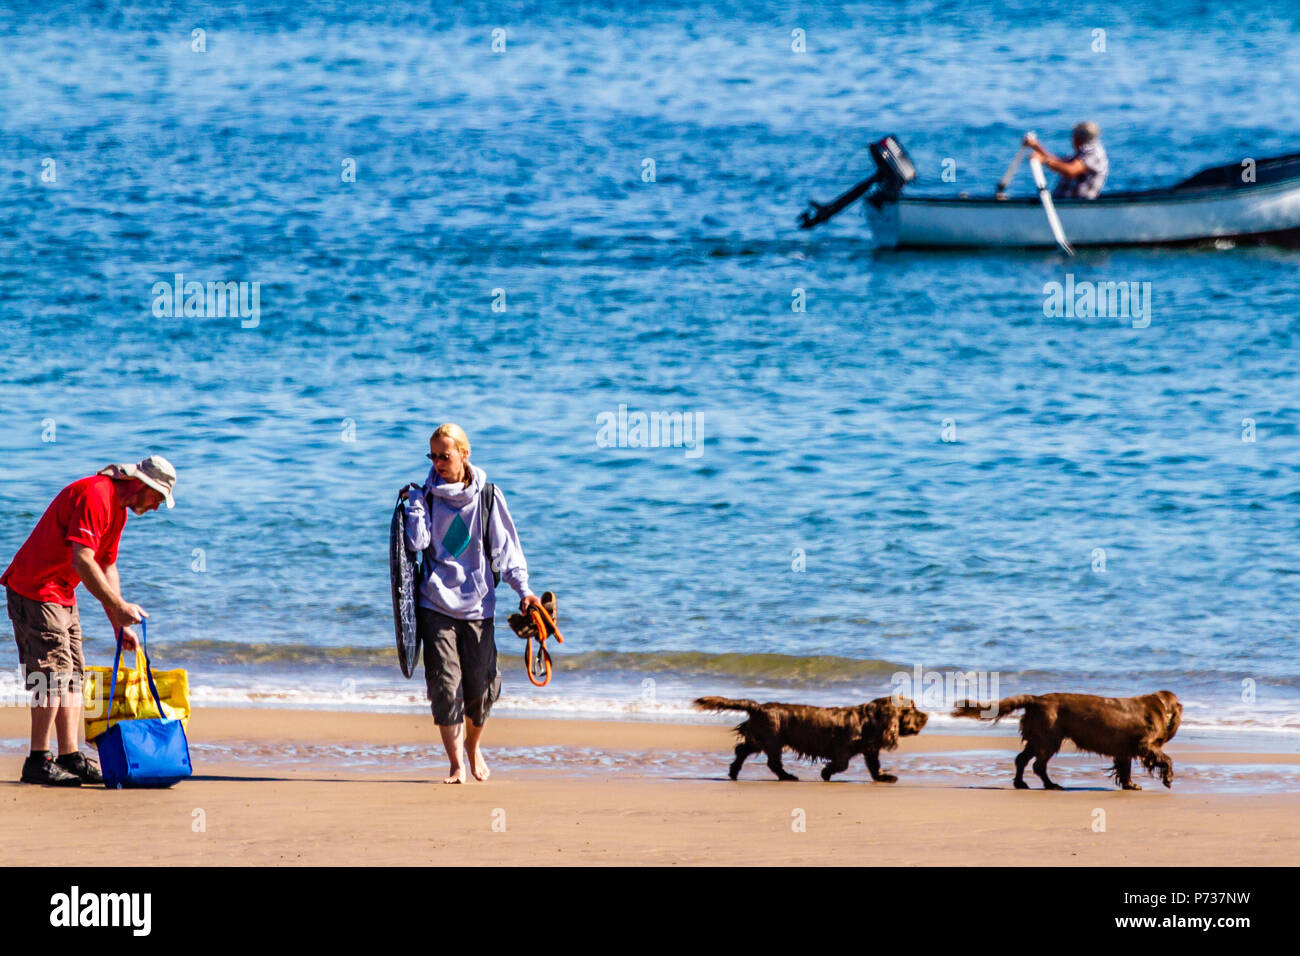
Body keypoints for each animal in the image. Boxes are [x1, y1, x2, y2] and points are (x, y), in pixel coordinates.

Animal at [696, 697, 930, 780]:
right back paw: (787, 776)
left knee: (742, 751)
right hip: (773, 740)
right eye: (911, 708)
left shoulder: (871, 750)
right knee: (773, 763)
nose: (927, 716)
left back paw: (734, 772)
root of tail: (759, 707)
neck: (869, 720)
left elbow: (875, 767)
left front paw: (884, 777)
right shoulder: (842, 749)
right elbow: (841, 764)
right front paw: (826, 773)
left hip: (759, 740)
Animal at [951, 691, 1185, 790]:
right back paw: (1051, 785)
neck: (1159, 704)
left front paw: (1130, 785)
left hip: (1038, 738)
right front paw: (1168, 778)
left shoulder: (1123, 750)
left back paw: (1021, 783)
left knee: (1021, 760)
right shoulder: (1146, 745)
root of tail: (1036, 699)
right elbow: (1166, 759)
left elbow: (1125, 769)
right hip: (1048, 740)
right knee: (1038, 765)